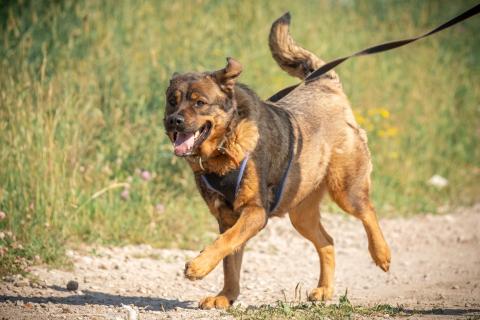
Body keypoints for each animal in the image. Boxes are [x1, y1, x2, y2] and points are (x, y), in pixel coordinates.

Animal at [163, 13, 392, 310]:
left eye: (199, 102)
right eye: (172, 101)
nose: (173, 121)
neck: (226, 145)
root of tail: (325, 85)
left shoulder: (255, 212)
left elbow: (225, 242)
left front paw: (199, 266)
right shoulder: (228, 217)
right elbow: (230, 260)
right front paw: (226, 295)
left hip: (346, 189)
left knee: (368, 211)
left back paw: (381, 253)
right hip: (301, 212)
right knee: (327, 241)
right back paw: (324, 289)